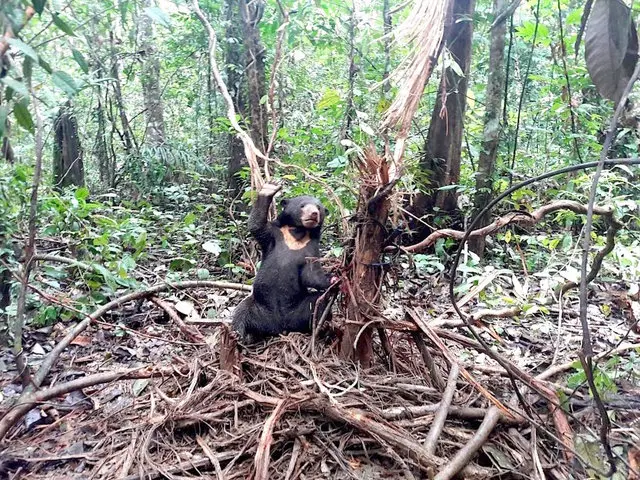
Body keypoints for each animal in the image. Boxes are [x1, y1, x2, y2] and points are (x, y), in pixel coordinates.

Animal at [231, 182, 332, 344]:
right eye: (302, 206)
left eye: (319, 207)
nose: (314, 214)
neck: (297, 233)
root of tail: (279, 327)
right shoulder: (273, 235)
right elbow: (256, 226)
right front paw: (270, 188)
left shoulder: (311, 248)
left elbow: (311, 275)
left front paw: (335, 278)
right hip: (259, 306)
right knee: (242, 311)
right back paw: (240, 336)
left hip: (299, 310)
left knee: (319, 302)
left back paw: (322, 328)